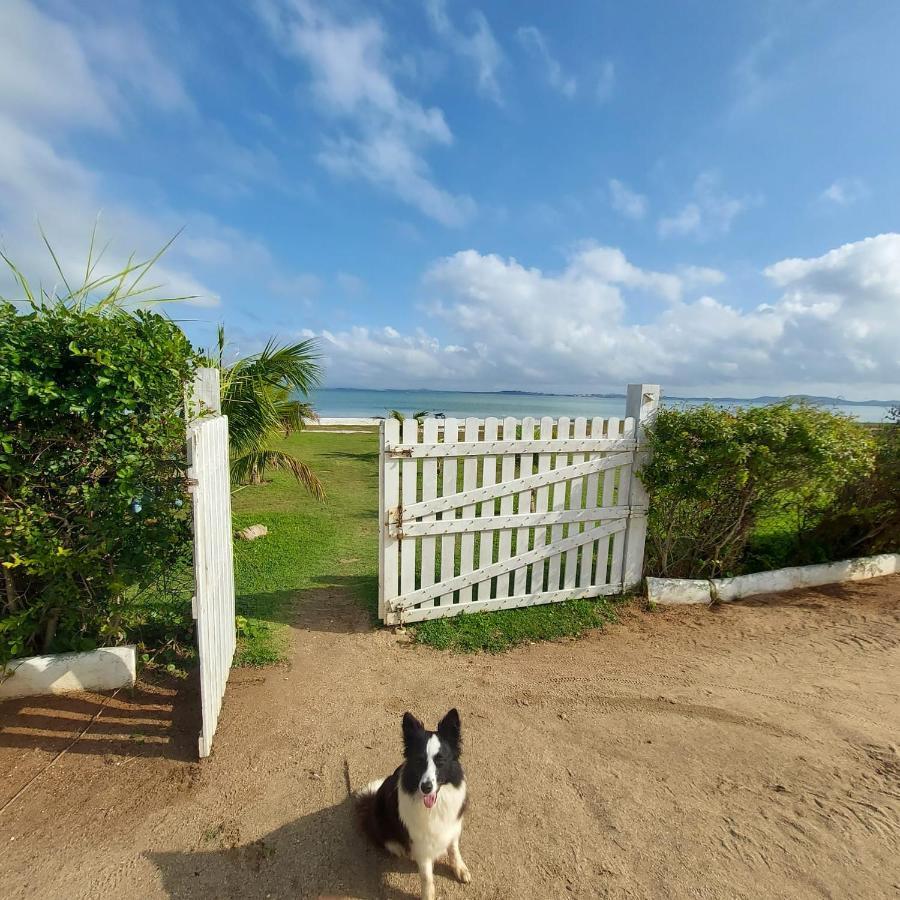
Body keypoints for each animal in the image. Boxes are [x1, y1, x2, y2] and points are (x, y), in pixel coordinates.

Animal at [356, 712, 472, 900]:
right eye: (419, 761)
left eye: (440, 761)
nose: (426, 787)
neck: (435, 806)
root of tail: (370, 802)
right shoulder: (421, 842)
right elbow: (426, 876)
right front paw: (428, 895)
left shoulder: (452, 827)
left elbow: (454, 850)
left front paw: (460, 869)